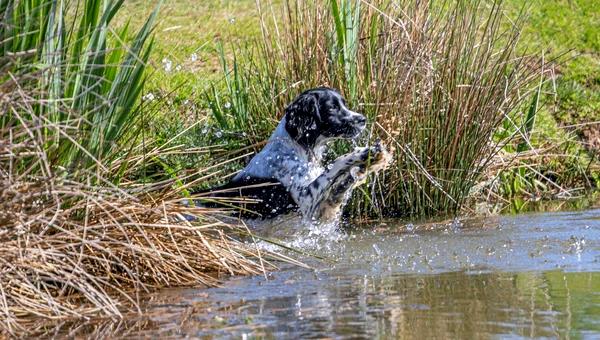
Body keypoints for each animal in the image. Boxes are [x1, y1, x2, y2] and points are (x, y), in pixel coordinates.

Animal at [197, 86, 392, 222]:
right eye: (332, 108)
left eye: (344, 104)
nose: (363, 119)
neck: (295, 148)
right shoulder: (306, 198)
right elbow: (335, 165)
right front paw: (363, 154)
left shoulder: (320, 208)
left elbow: (339, 186)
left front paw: (365, 166)